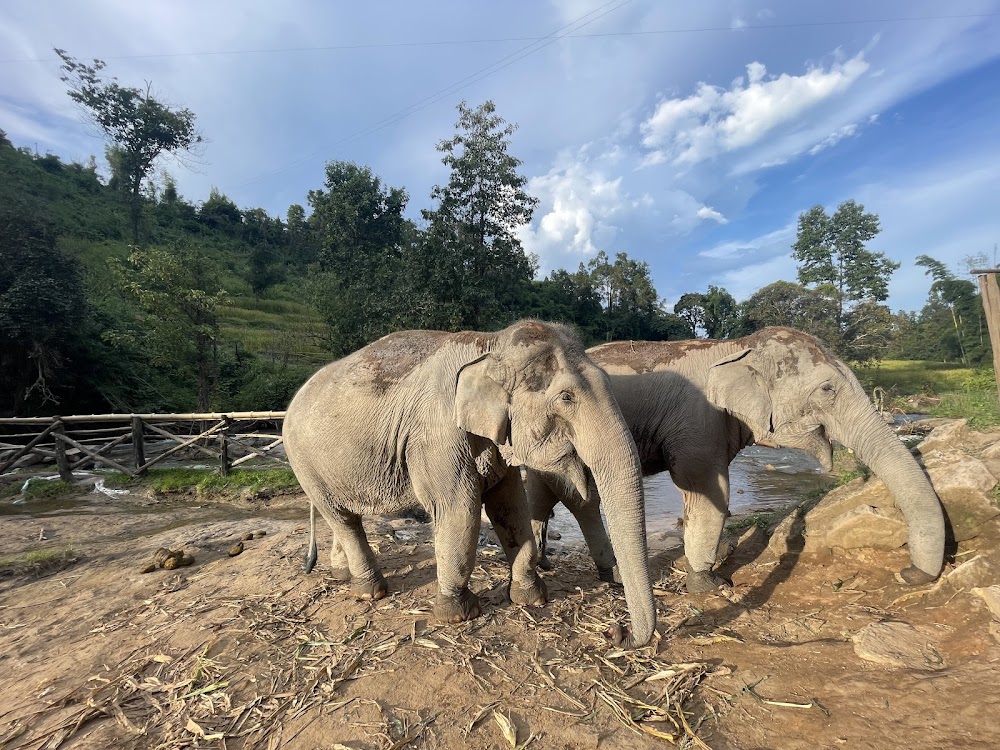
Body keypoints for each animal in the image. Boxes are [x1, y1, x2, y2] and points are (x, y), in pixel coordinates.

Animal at [282, 320, 656, 648]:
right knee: (342, 518)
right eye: (566, 397)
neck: (489, 344)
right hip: (303, 461)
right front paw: (456, 615)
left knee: (345, 516)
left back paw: (342, 574)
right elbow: (459, 508)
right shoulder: (437, 434)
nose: (616, 632)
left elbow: (510, 505)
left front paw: (530, 598)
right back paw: (369, 591)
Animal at [532, 326, 944, 596]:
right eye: (828, 389)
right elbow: (708, 490)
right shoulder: (698, 421)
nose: (909, 574)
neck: (735, 346)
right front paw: (710, 584)